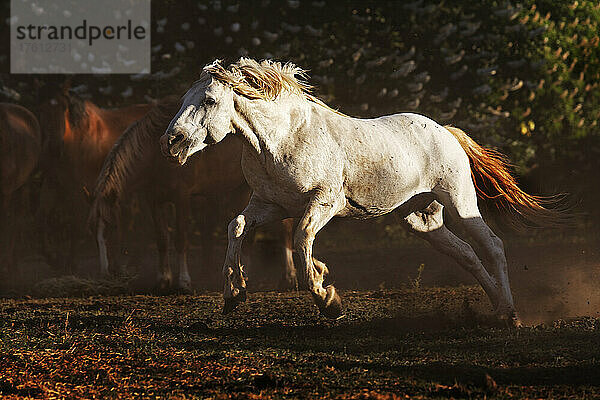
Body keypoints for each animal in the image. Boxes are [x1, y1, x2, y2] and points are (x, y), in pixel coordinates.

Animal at [37, 83, 152, 272]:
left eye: (63, 108)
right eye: (42, 108)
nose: (54, 147)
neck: (76, 140)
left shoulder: (81, 188)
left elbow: (76, 222)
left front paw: (71, 263)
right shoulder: (55, 184)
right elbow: (42, 218)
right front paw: (53, 258)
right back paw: (134, 260)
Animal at [90, 97, 314, 290]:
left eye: (112, 229)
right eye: (95, 234)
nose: (104, 275)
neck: (155, 157)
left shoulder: (181, 199)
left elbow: (181, 239)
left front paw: (183, 281)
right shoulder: (154, 201)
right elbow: (162, 238)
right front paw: (163, 279)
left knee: (284, 228)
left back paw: (288, 278)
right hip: (243, 190)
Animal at [161, 57, 564, 324]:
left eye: (209, 100)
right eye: (182, 99)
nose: (172, 142)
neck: (282, 140)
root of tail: (446, 132)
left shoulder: (323, 203)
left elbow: (302, 239)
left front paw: (327, 297)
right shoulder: (269, 204)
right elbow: (237, 227)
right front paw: (234, 294)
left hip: (461, 203)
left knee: (492, 246)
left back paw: (510, 314)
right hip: (421, 219)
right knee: (465, 254)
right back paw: (497, 308)